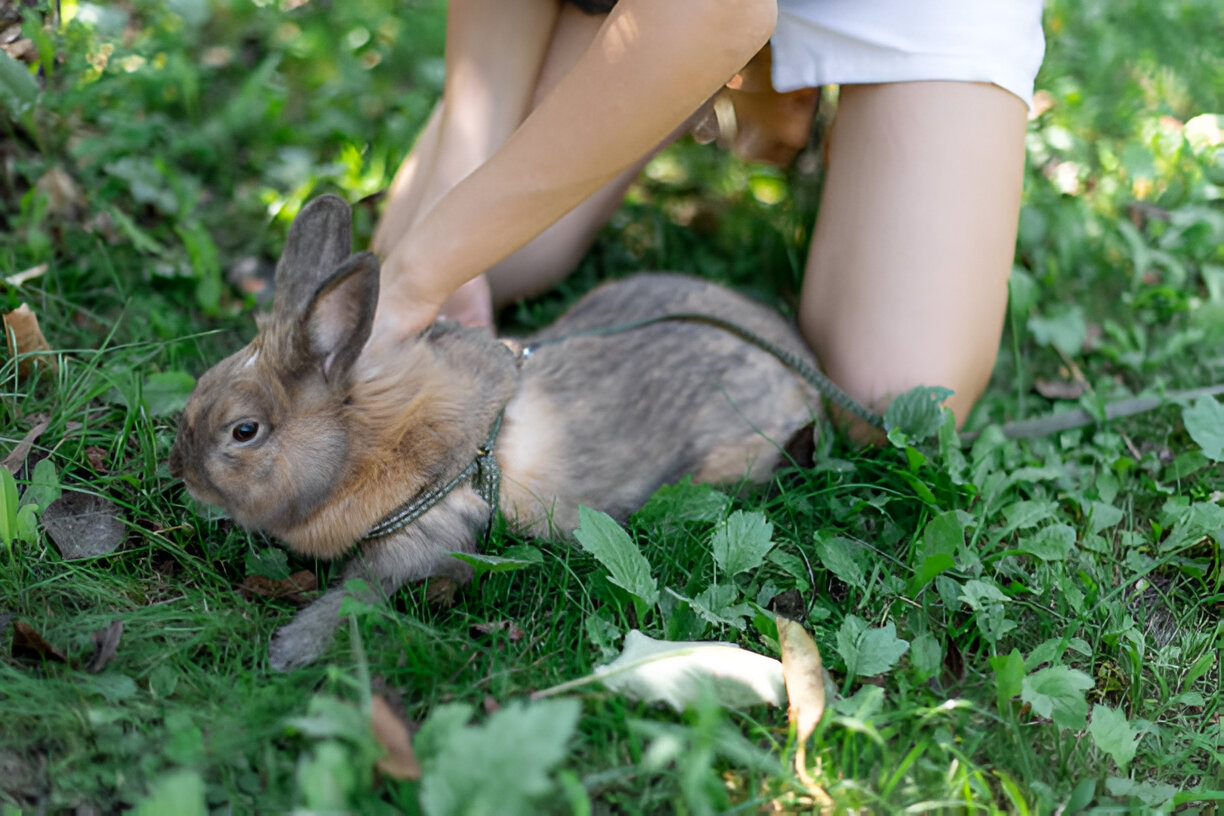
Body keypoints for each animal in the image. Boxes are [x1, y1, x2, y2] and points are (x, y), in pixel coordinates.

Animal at [169, 194, 823, 670]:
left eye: (244, 431)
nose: (181, 471)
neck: (362, 443)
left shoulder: (423, 543)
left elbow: (357, 594)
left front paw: (293, 649)